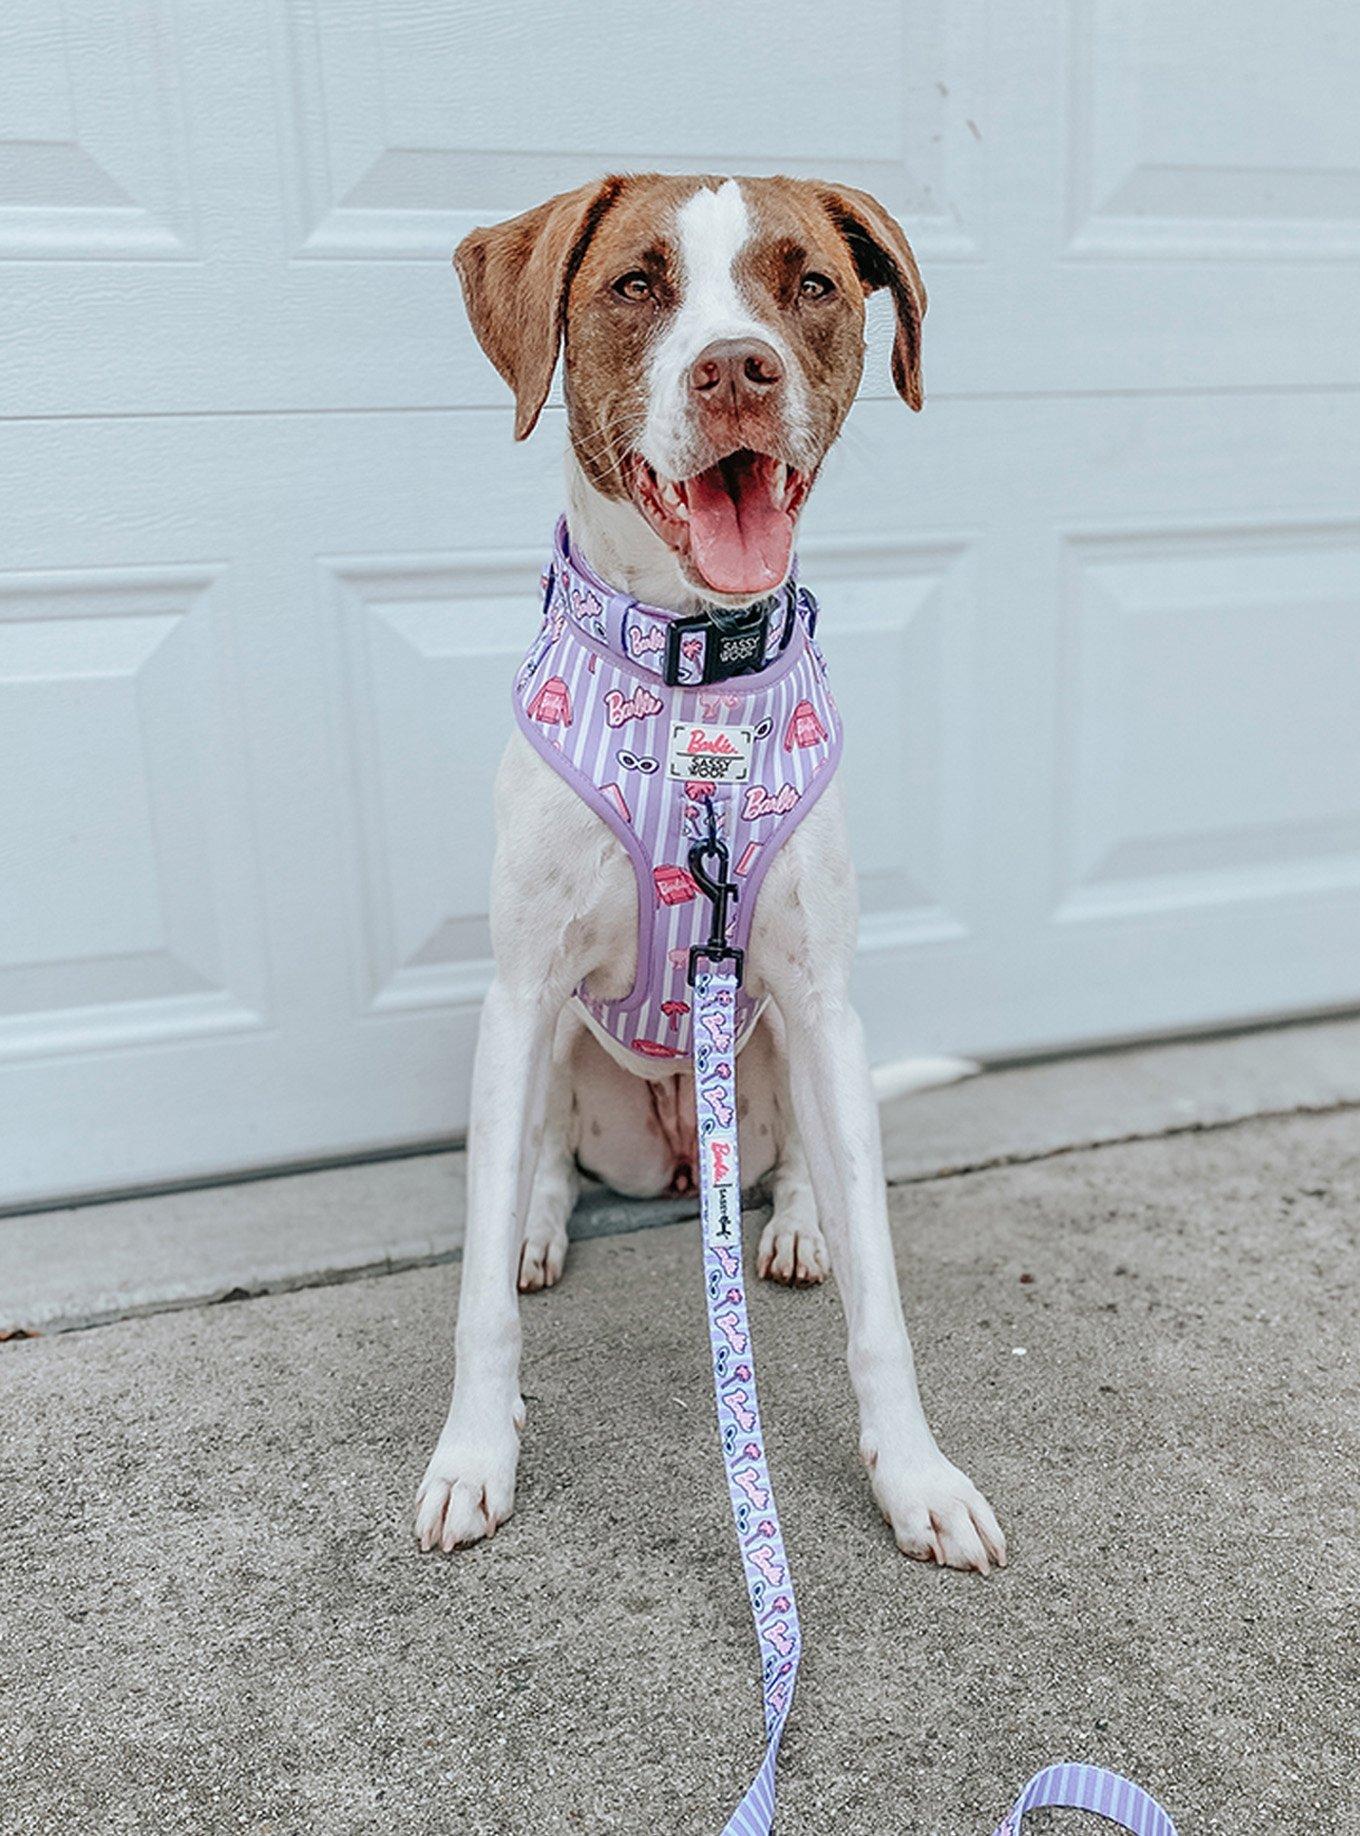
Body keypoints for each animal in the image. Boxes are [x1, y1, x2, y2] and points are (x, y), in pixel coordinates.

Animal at [418, 175, 1005, 1578]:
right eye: (637, 284)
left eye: (812, 286)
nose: (738, 367)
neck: (694, 681)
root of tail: (686, 1168)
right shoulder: (518, 995)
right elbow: (474, 1291)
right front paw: (474, 1451)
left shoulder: (819, 991)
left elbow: (883, 1298)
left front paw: (914, 1475)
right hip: (559, 1053)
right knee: (541, 1163)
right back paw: (539, 1226)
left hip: (784, 1037)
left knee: (796, 1163)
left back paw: (790, 1225)